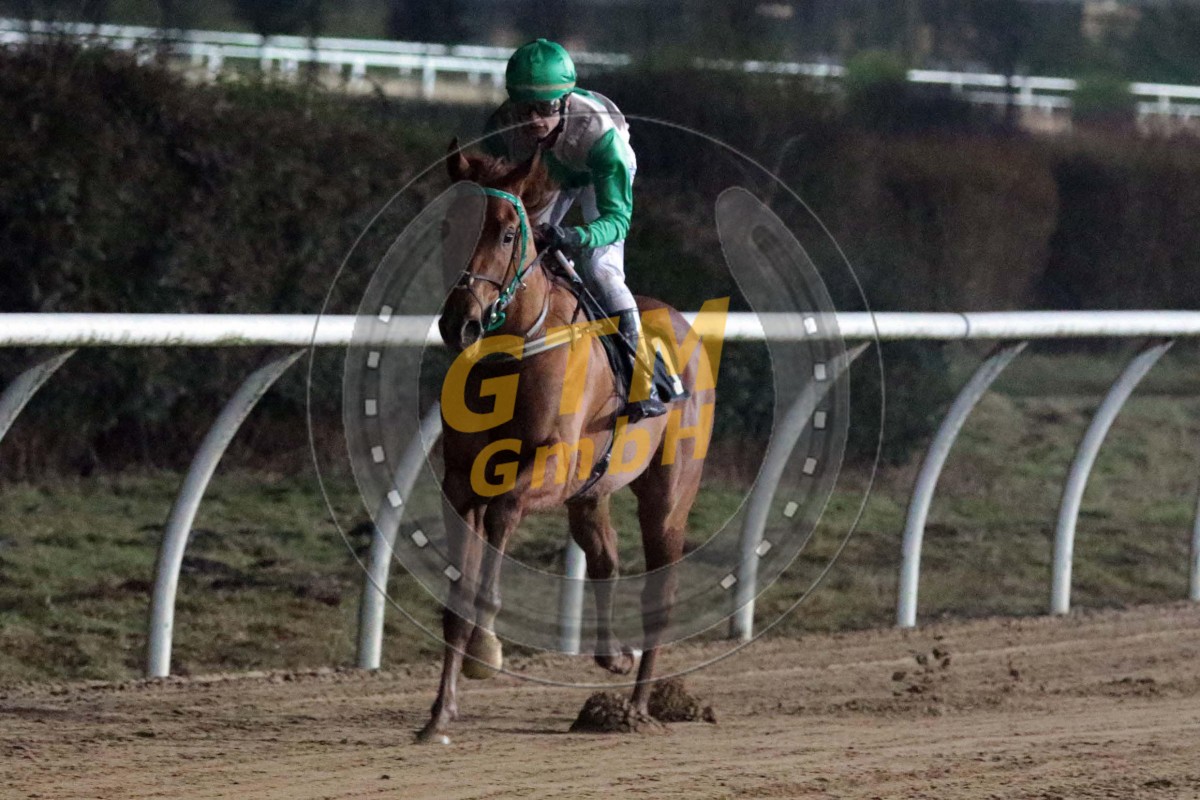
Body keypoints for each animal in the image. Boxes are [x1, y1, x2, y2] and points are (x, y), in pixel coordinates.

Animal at [419, 140, 715, 743]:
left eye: (508, 232)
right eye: (447, 225)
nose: (460, 323)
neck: (513, 353)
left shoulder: (551, 467)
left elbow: (505, 510)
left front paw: (487, 649)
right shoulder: (460, 481)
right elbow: (456, 597)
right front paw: (438, 716)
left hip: (668, 497)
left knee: (659, 593)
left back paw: (638, 708)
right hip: (593, 490)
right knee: (604, 555)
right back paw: (613, 657)